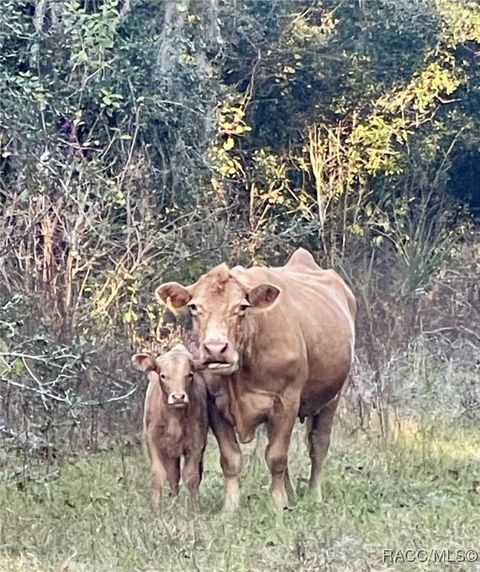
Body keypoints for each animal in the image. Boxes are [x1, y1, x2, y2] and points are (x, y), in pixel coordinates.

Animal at [131, 344, 208, 504]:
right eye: (163, 376)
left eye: (189, 375)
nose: (178, 397)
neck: (174, 419)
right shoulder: (152, 441)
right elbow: (158, 474)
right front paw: (155, 506)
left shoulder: (197, 442)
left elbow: (191, 476)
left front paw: (194, 507)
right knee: (173, 476)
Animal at [156, 249, 354, 510]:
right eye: (194, 307)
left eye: (242, 307)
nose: (215, 348)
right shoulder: (215, 405)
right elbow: (231, 458)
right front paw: (230, 507)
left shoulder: (286, 401)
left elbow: (277, 456)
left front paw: (278, 504)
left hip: (333, 397)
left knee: (318, 444)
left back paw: (313, 496)